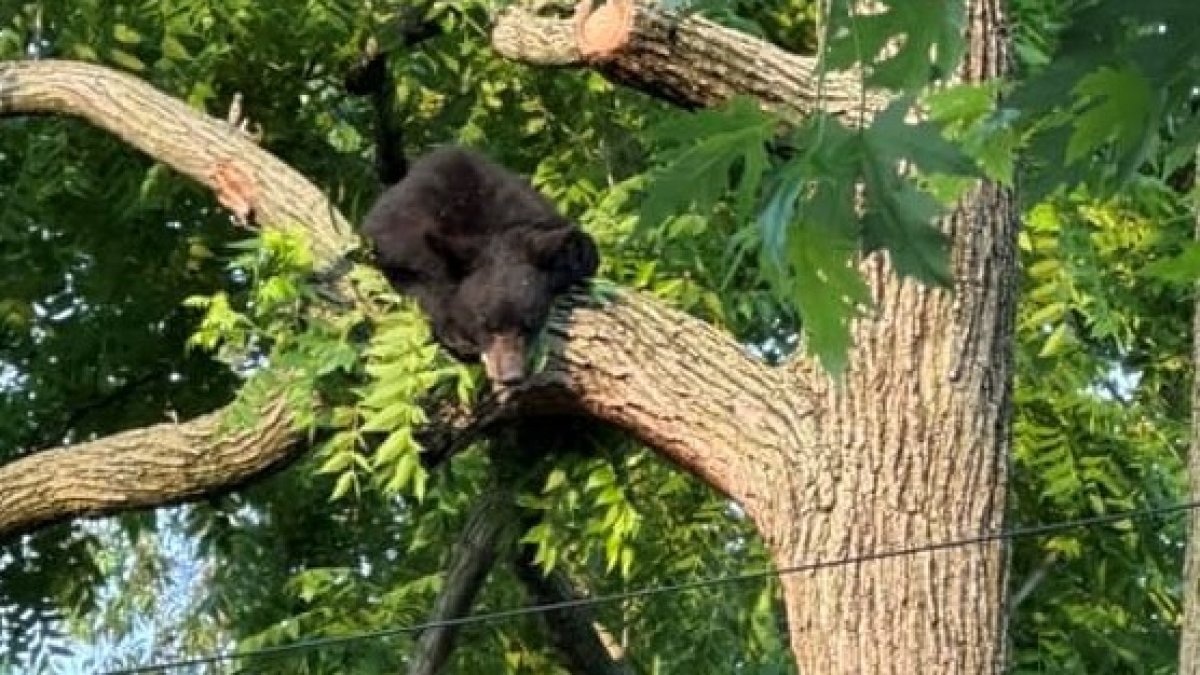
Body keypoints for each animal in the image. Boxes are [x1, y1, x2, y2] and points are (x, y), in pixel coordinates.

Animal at [352, 50, 600, 384]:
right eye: (487, 324)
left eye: (528, 324)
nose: (511, 376)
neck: (486, 229)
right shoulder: (401, 233)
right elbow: (407, 274)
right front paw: (455, 332)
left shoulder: (531, 214)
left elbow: (583, 250)